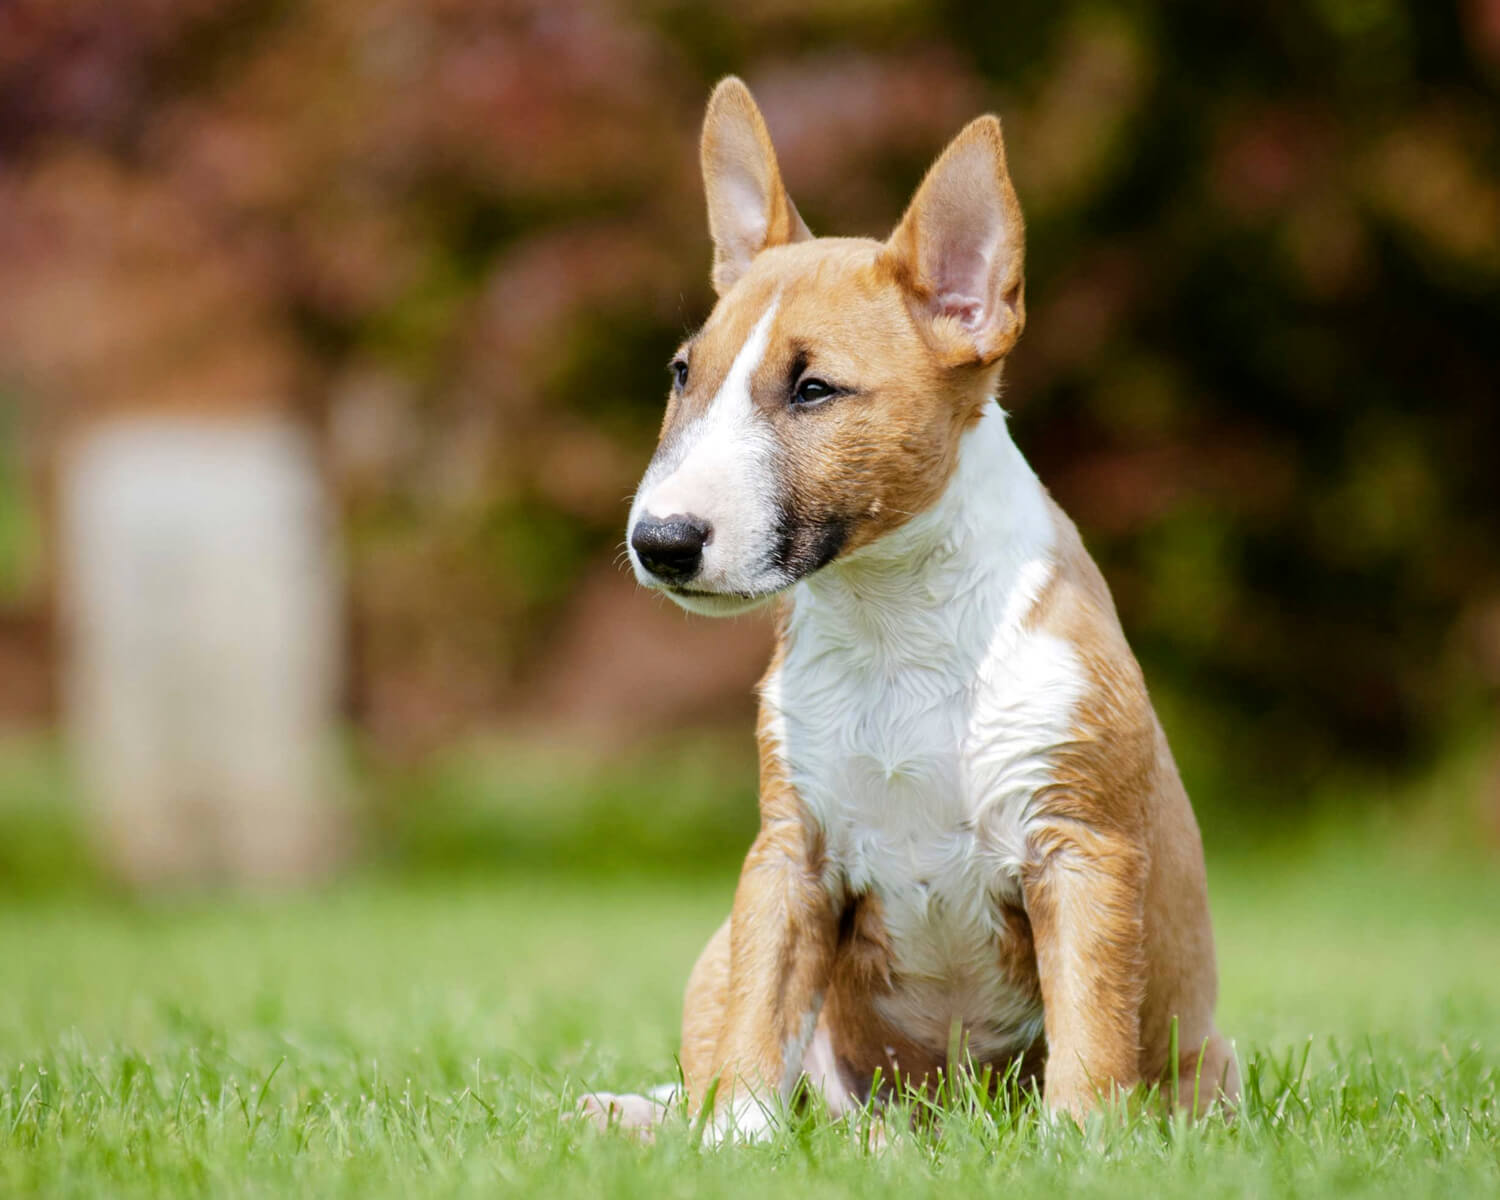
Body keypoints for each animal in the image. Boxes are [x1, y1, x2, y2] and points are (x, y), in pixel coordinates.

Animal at [579, 79, 1236, 1140]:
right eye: (683, 375)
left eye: (814, 389)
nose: (662, 542)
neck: (896, 622)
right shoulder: (789, 857)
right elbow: (754, 1026)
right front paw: (732, 1144)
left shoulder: (1081, 852)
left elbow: (1091, 1033)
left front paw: (1081, 1146)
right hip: (721, 954)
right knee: (724, 1047)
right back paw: (636, 1113)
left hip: (1206, 1059)